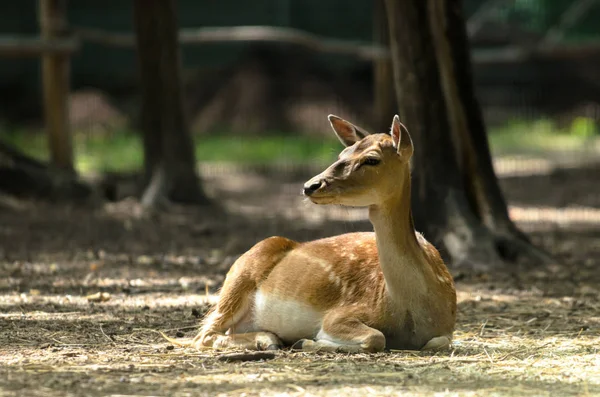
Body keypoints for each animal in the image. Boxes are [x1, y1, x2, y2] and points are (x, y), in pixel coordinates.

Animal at [166, 115, 458, 352]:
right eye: (342, 153)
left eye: (372, 159)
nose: (310, 185)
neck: (409, 310)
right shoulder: (339, 315)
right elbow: (376, 337)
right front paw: (307, 341)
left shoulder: (446, 329)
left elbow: (438, 342)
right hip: (237, 278)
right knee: (205, 334)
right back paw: (269, 339)